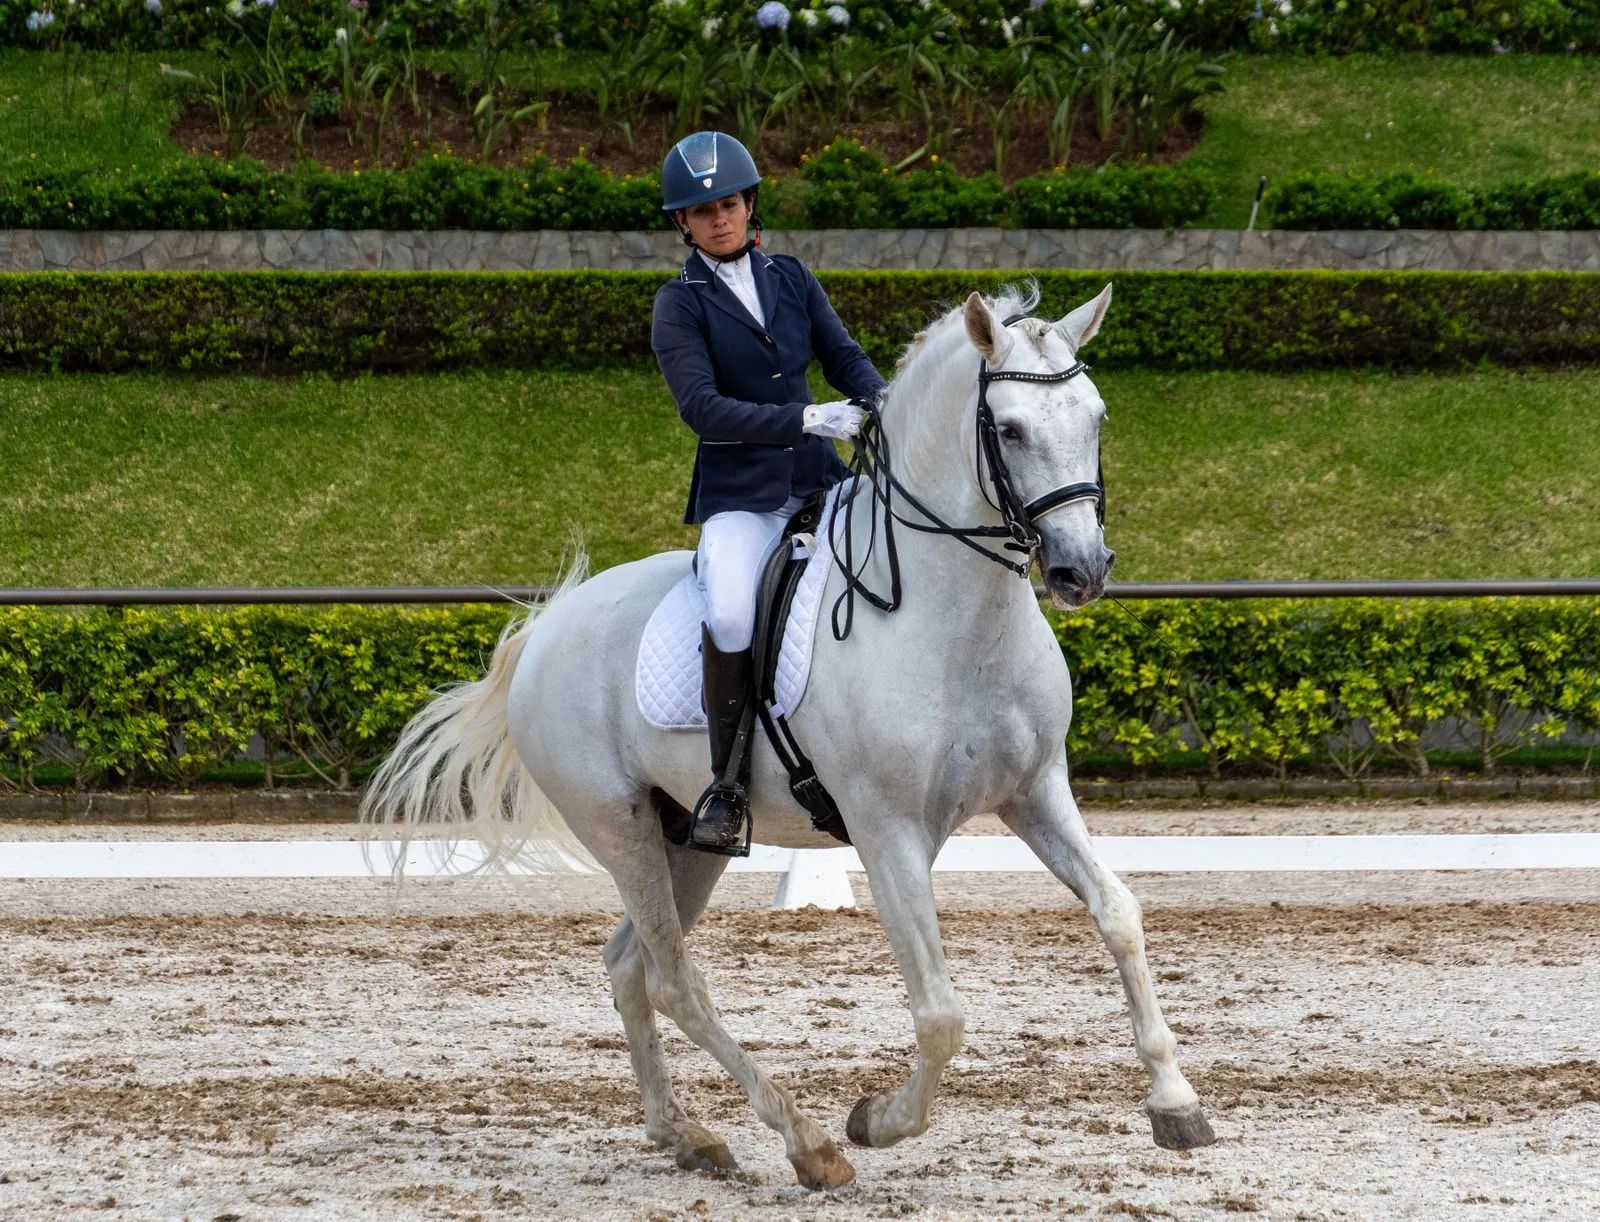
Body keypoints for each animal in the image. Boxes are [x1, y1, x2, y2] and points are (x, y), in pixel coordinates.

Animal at [361, 281, 1216, 1190]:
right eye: (1011, 429)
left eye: (1096, 418)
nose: (1081, 571)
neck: (957, 615)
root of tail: (545, 629)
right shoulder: (887, 832)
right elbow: (941, 1014)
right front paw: (877, 1121)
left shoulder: (1036, 791)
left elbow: (1120, 914)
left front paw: (1175, 1103)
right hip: (619, 829)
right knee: (675, 981)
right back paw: (806, 1142)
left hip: (687, 839)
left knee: (631, 966)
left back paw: (685, 1134)